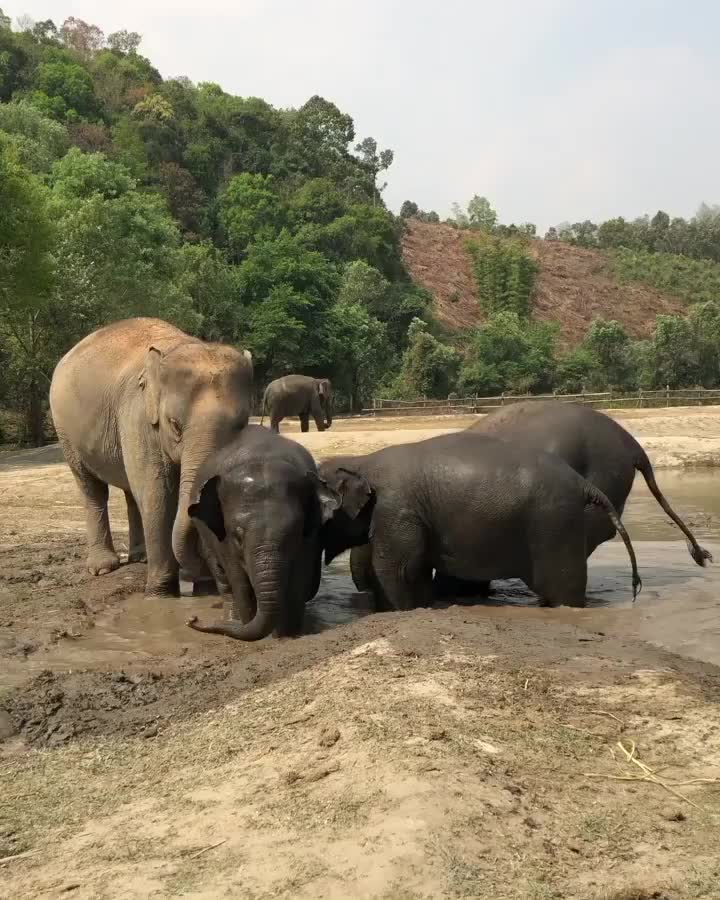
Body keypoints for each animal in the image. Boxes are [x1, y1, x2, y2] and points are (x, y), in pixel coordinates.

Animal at [49, 318, 253, 597]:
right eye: (175, 425)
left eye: (242, 424)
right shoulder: (138, 417)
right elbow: (157, 492)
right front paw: (160, 593)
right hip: (66, 433)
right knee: (92, 488)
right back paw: (103, 568)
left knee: (130, 493)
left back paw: (140, 558)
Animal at [185, 425, 330, 640]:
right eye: (237, 537)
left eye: (294, 534)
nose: (192, 619)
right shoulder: (223, 539)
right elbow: (239, 581)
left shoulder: (310, 534)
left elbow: (298, 577)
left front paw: (289, 635)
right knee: (223, 578)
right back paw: (232, 619)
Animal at [317, 432, 641, 612]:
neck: (361, 461)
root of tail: (582, 484)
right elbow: (415, 570)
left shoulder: (396, 510)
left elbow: (396, 568)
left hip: (554, 524)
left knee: (563, 587)